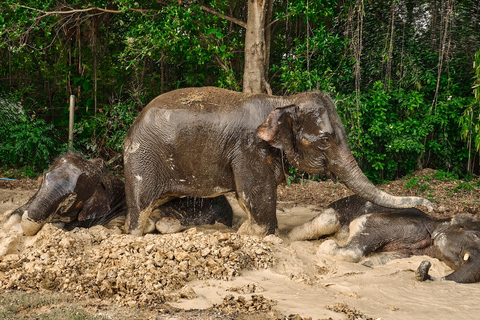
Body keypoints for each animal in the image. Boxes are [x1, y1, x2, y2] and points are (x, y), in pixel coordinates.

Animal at [122, 86, 434, 236]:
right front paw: (251, 232)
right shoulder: (249, 147)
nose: (431, 206)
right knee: (140, 205)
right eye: (325, 141)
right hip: (142, 158)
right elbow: (256, 193)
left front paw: (244, 230)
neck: (282, 101)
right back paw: (136, 230)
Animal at [288, 195, 480, 282]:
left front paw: (367, 263)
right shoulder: (387, 222)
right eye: (476, 235)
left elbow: (381, 259)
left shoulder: (407, 253)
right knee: (321, 224)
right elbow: (358, 230)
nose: (426, 265)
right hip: (338, 208)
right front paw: (328, 245)